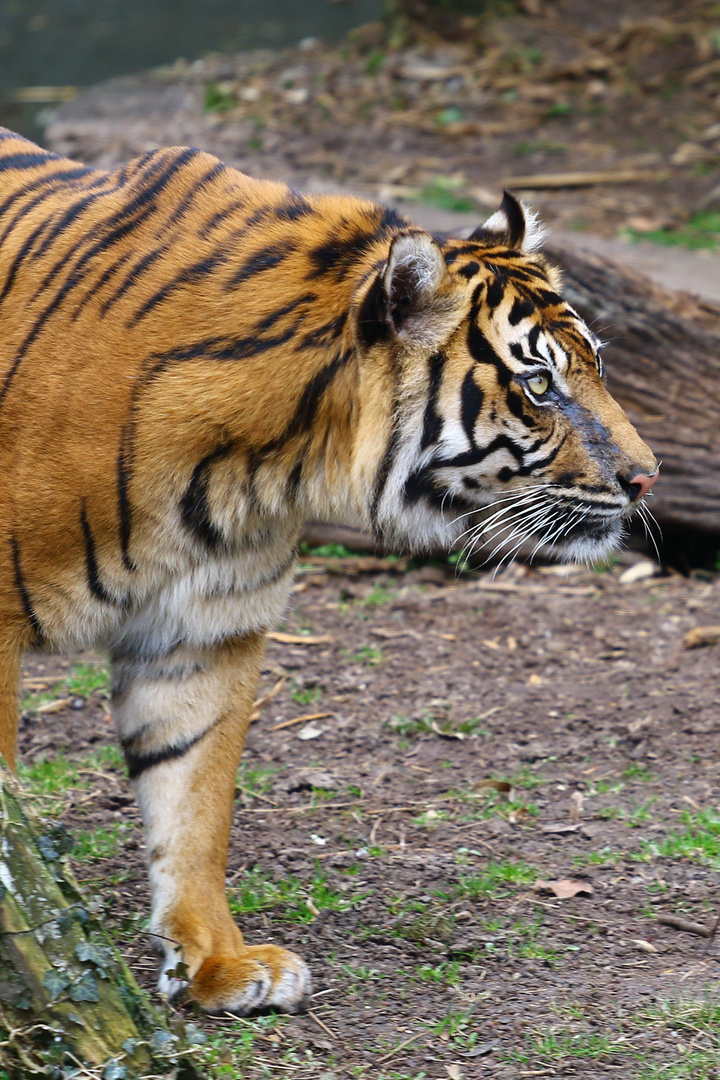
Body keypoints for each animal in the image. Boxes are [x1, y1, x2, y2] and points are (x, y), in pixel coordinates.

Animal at [0, 130, 660, 1015]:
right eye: (538, 383)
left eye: (597, 367)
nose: (647, 478)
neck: (268, 457)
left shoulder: (203, 629)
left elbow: (195, 804)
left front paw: (218, 964)